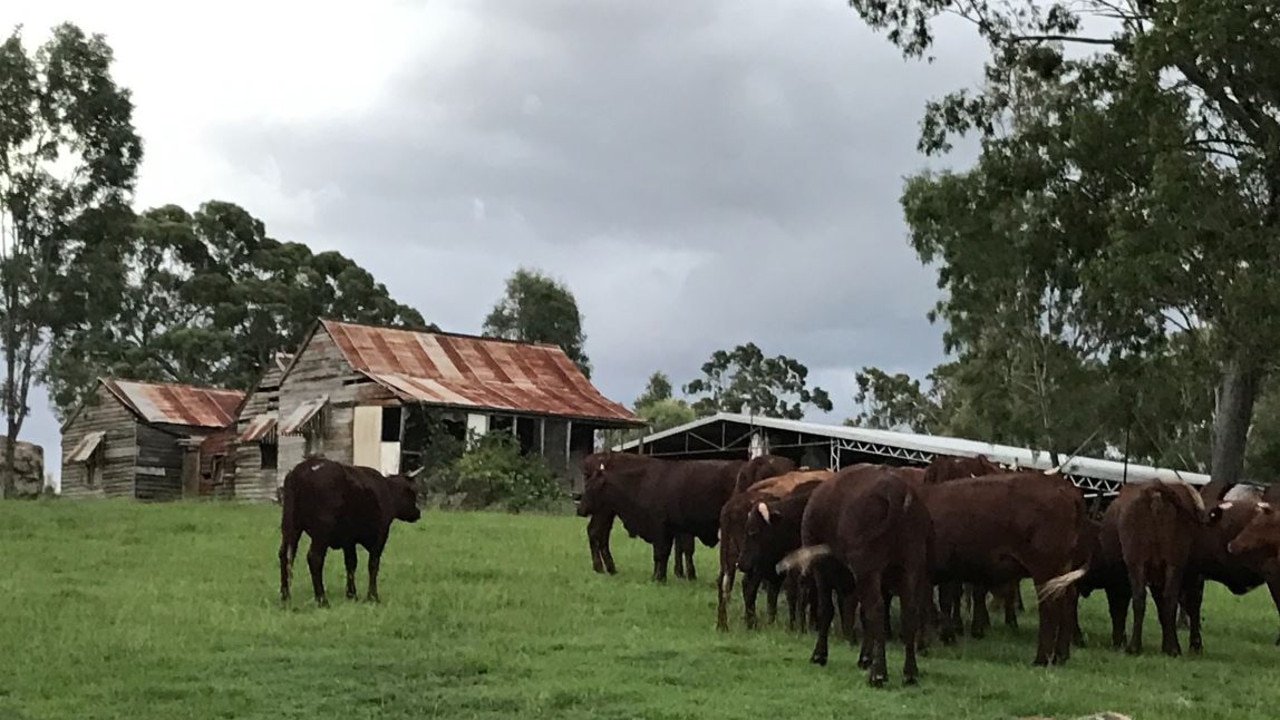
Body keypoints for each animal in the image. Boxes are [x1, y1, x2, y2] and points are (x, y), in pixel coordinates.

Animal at [277, 456, 422, 602]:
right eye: (413, 492)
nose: (418, 513)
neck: (387, 491)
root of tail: (304, 469)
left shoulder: (349, 540)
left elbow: (351, 564)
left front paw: (351, 594)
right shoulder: (380, 536)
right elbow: (373, 564)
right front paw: (372, 596)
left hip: (290, 526)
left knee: (285, 555)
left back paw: (285, 596)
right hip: (321, 531)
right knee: (314, 558)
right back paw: (322, 600)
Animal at [576, 450, 747, 579]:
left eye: (591, 487)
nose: (580, 509)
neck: (642, 480)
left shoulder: (666, 528)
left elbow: (669, 551)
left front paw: (668, 575)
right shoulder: (667, 529)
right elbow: (668, 552)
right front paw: (668, 576)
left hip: (605, 513)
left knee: (599, 534)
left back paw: (606, 567)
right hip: (604, 513)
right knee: (597, 533)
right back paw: (604, 567)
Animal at [716, 466, 834, 627]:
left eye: (753, 531)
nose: (742, 564)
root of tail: (730, 507)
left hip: (731, 558)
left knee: (725, 583)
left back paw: (726, 625)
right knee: (749, 586)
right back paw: (754, 623)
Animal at [778, 466, 931, 681]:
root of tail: (896, 492)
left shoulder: (823, 570)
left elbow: (826, 609)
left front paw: (819, 655)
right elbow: (864, 616)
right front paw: (865, 658)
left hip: (868, 569)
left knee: (876, 609)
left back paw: (878, 674)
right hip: (910, 566)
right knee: (908, 611)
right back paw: (910, 673)